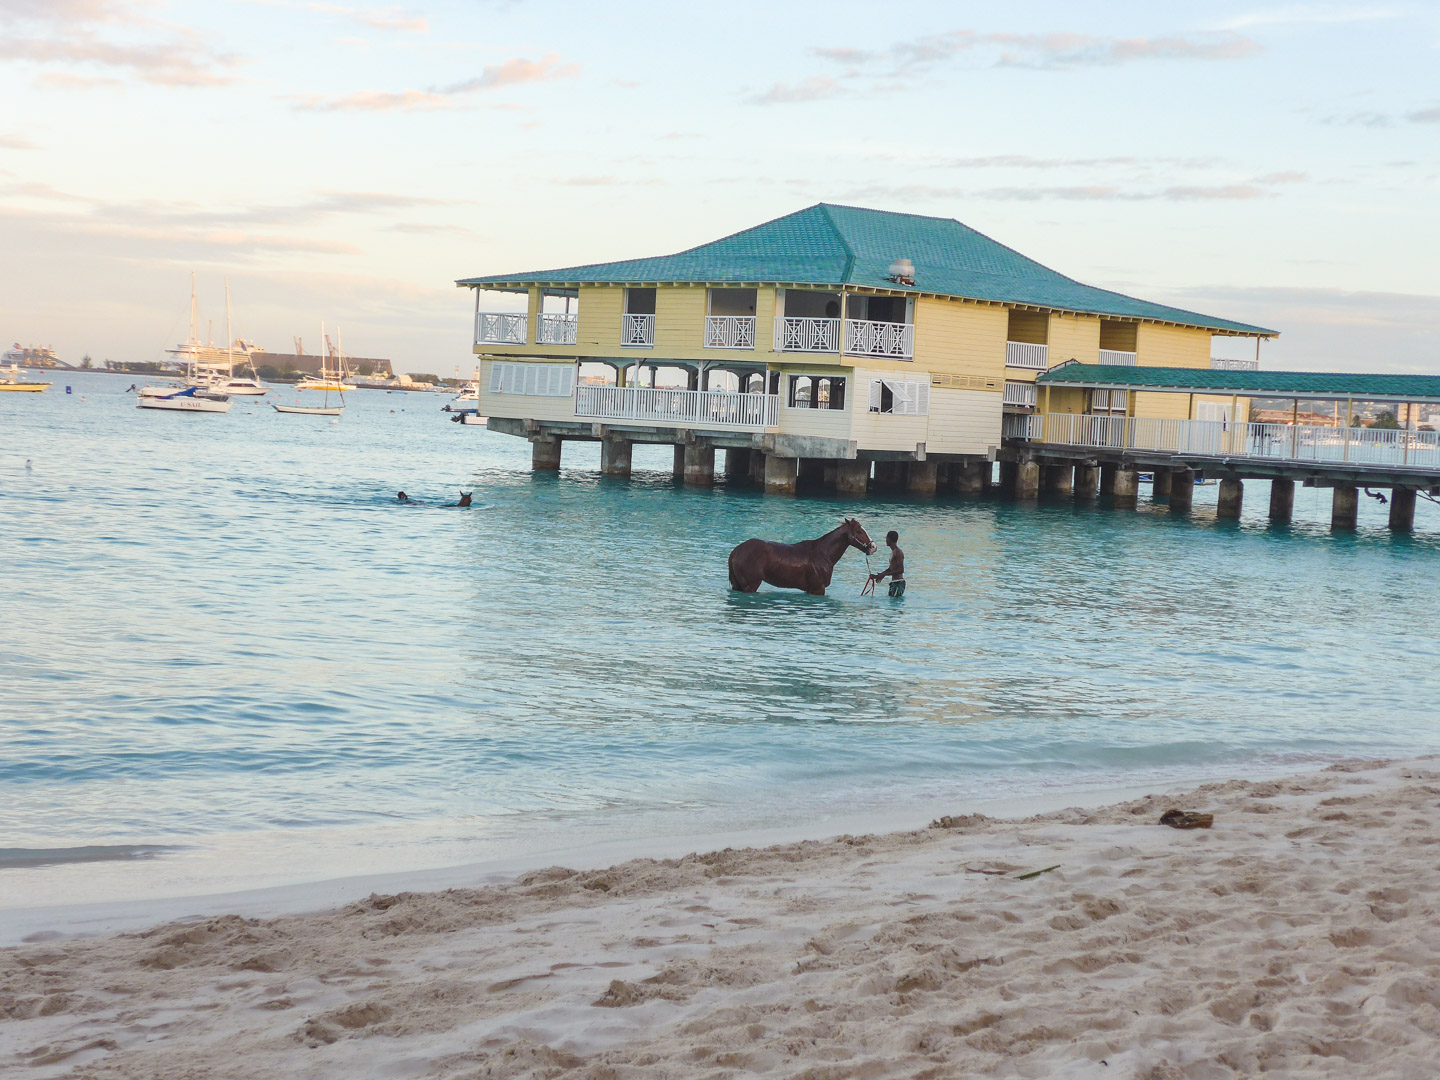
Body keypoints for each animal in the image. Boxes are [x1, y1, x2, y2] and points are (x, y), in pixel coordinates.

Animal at [725, 518, 869, 596]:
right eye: (859, 532)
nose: (872, 547)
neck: (823, 554)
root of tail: (737, 550)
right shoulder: (818, 588)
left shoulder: (810, 589)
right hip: (751, 585)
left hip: (737, 584)